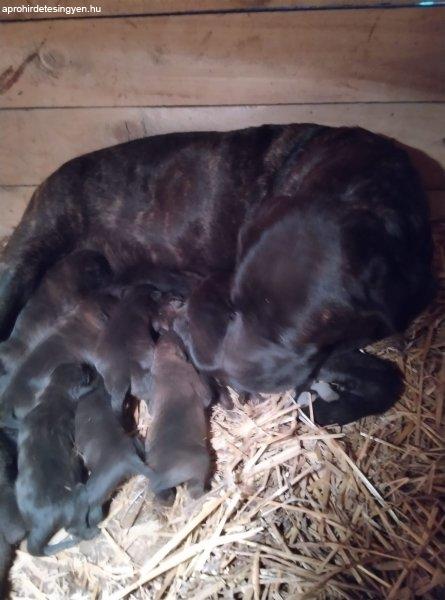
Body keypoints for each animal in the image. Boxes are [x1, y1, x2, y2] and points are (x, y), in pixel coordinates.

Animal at [16, 364, 99, 556]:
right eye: (85, 372)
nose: (88, 364)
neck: (52, 396)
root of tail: (40, 525)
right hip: (80, 494)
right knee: (75, 529)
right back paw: (92, 532)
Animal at [144, 330, 210, 504]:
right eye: (177, 339)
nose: (169, 330)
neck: (165, 364)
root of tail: (162, 477)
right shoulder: (191, 374)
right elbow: (207, 398)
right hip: (200, 461)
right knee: (195, 490)